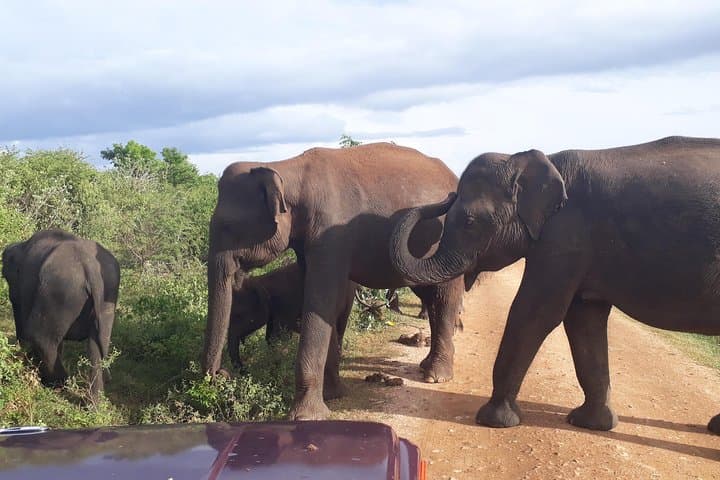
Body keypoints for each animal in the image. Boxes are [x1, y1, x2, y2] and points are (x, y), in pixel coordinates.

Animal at [1, 229, 120, 399]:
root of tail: (90, 268)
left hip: (60, 291)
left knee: (39, 337)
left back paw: (58, 384)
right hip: (107, 294)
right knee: (96, 344)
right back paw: (93, 403)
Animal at [228, 262, 358, 398]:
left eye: (238, 315)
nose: (245, 372)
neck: (262, 281)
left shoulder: (285, 304)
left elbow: (278, 336)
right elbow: (270, 337)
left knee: (340, 326)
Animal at [390, 136, 720, 435]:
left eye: (469, 222)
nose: (446, 195)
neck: (533, 159)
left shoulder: (565, 235)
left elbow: (536, 312)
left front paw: (493, 420)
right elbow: (583, 319)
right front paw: (591, 424)